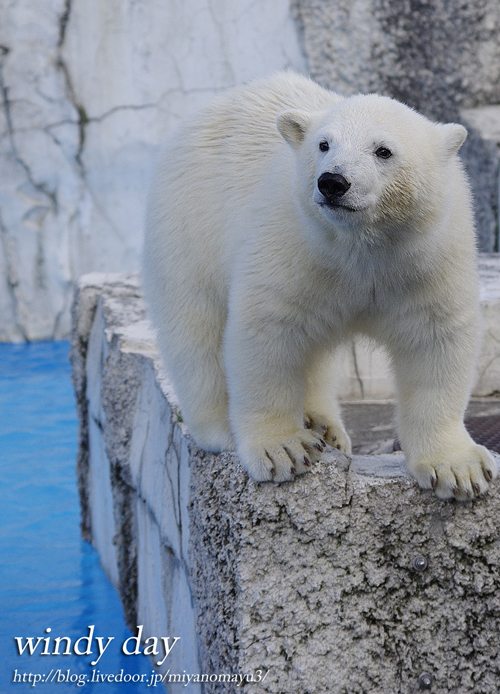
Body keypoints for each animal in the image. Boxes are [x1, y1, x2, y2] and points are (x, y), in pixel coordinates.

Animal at [143, 72, 498, 500]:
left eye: (383, 151)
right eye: (324, 144)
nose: (333, 182)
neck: (362, 246)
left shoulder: (428, 255)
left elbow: (435, 339)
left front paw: (459, 469)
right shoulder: (293, 244)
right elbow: (267, 333)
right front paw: (282, 448)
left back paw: (324, 424)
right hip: (189, 224)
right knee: (196, 327)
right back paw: (222, 426)